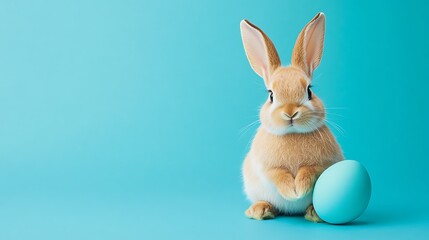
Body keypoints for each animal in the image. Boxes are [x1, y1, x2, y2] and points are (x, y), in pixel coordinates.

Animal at [239, 12, 342, 223]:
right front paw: (291, 193)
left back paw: (314, 213)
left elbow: (309, 171)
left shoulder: (321, 165)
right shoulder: (268, 168)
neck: (292, 133)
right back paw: (260, 210)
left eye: (309, 91)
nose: (290, 112)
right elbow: (278, 176)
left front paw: (299, 190)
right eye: (271, 95)